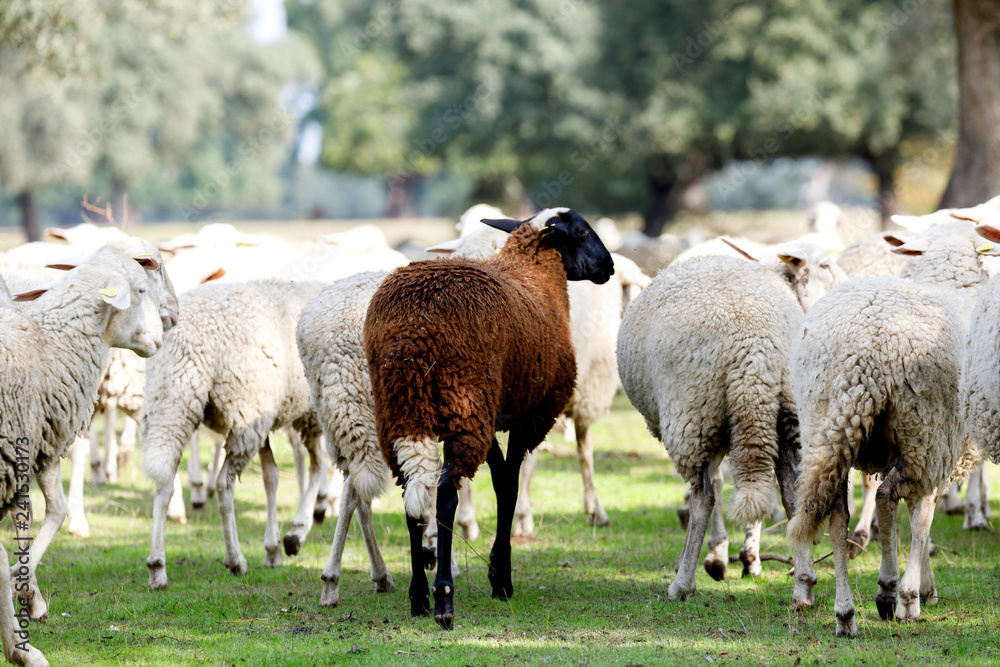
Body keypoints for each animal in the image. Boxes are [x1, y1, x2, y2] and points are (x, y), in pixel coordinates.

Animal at [142, 279, 326, 590]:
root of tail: (184, 343)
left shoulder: (265, 418)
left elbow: (271, 477)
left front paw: (273, 548)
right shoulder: (300, 413)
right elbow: (312, 468)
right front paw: (295, 533)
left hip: (170, 406)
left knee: (164, 483)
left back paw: (157, 568)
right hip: (245, 410)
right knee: (223, 485)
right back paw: (235, 559)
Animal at [365, 208, 614, 629]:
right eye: (582, 231)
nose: (609, 267)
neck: (535, 271)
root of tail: (410, 329)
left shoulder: (494, 417)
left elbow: (500, 477)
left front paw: (498, 572)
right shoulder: (530, 416)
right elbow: (509, 485)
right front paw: (501, 576)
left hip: (401, 412)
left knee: (413, 495)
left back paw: (418, 597)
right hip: (464, 401)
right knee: (445, 493)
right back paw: (443, 599)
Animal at [616, 244, 841, 600]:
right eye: (825, 267)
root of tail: (755, 348)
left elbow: (713, 490)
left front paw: (699, 561)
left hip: (691, 413)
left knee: (703, 498)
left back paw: (682, 585)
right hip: (785, 409)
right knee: (791, 492)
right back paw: (803, 586)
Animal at [787, 221, 988, 636]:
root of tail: (863, 355)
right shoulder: (939, 451)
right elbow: (921, 520)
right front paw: (920, 590)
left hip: (823, 425)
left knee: (836, 514)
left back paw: (845, 613)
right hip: (923, 429)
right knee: (888, 498)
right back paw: (895, 593)